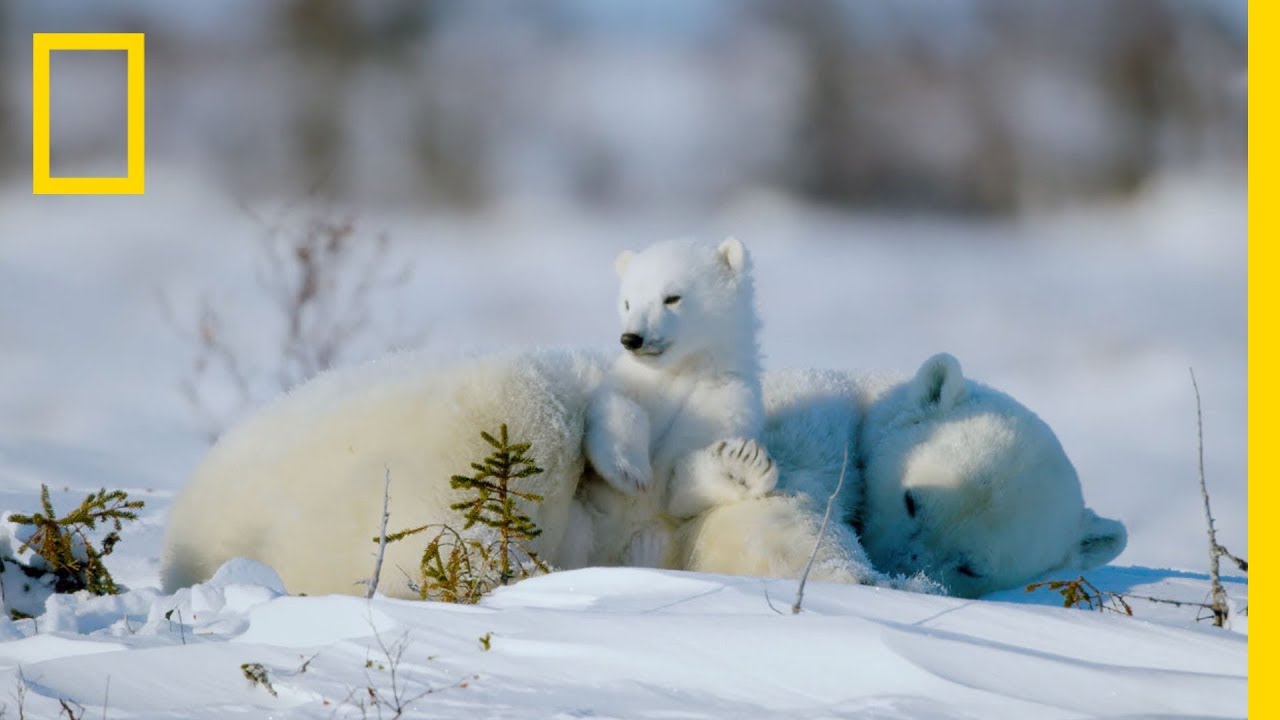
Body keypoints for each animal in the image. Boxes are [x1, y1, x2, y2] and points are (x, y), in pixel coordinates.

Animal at [577, 237, 778, 570]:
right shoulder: (636, 381)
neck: (681, 369)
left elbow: (681, 483)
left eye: (672, 298)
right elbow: (617, 406)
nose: (631, 338)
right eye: (628, 302)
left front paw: (742, 464)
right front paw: (629, 470)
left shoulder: (726, 397)